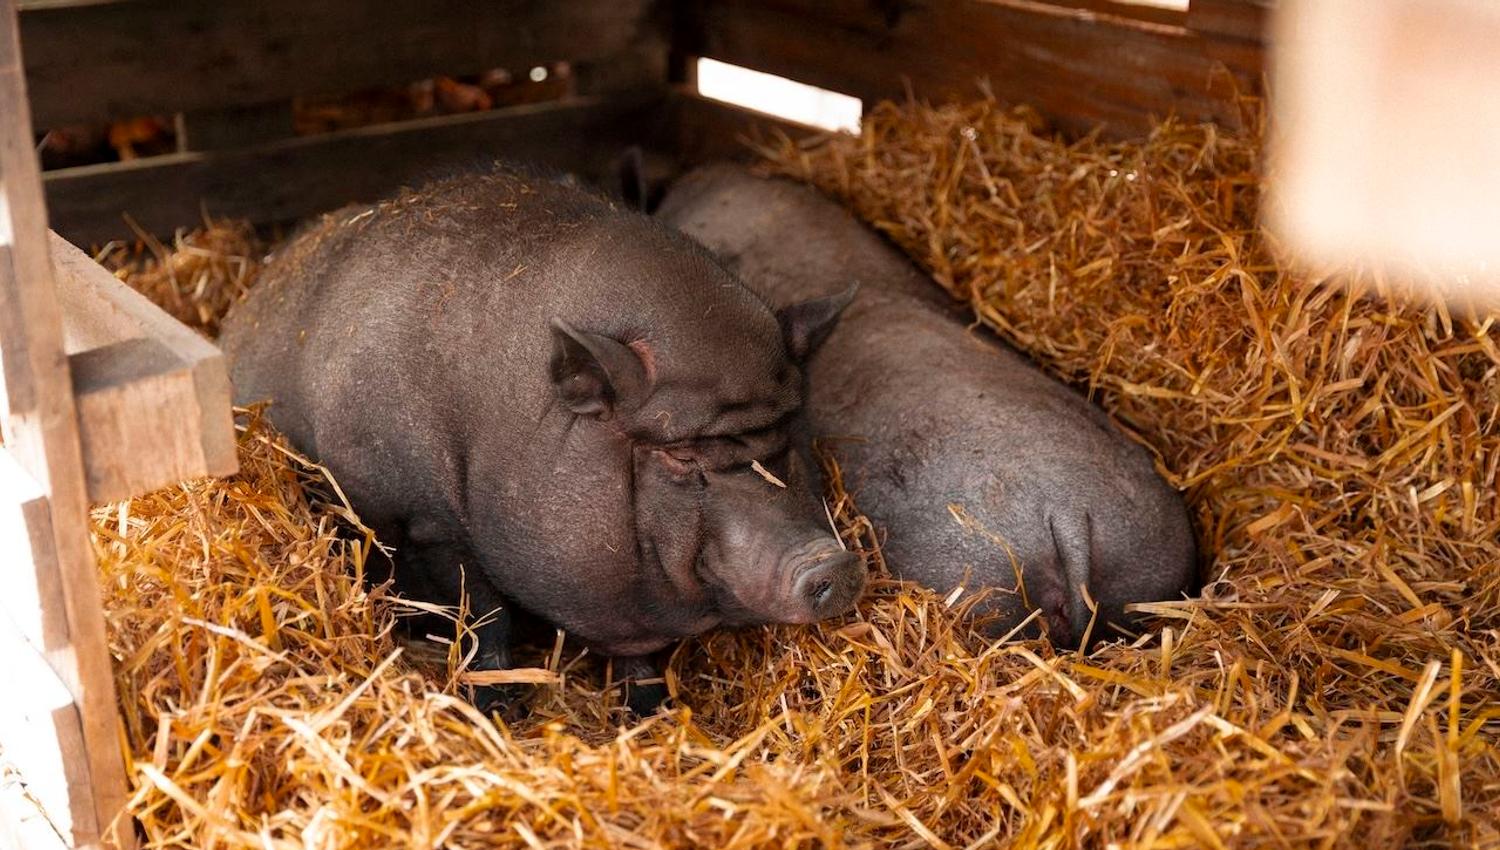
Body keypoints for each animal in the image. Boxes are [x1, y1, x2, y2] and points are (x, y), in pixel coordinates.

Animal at [218, 164, 866, 713]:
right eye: (681, 455)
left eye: (790, 430)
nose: (833, 562)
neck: (497, 420)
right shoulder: (427, 522)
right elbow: (484, 618)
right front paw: (501, 708)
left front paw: (653, 709)